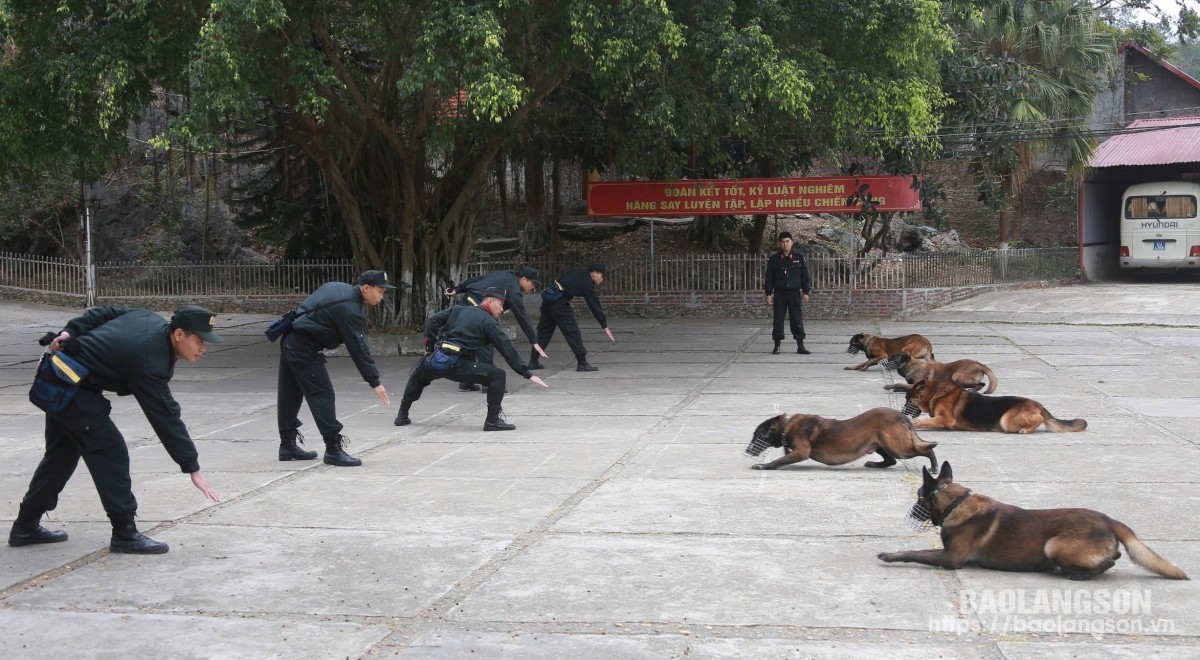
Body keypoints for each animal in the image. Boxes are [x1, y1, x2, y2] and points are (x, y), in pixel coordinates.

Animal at [739, 408, 936, 470]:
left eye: (759, 435)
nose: (747, 451)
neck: (787, 426)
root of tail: (902, 416)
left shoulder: (802, 452)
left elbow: (778, 460)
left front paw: (763, 465)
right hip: (880, 444)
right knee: (890, 461)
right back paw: (875, 464)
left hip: (897, 446)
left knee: (926, 450)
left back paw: (934, 466)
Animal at [878, 463, 1185, 583]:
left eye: (919, 496)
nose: (911, 512)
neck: (957, 502)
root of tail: (1110, 521)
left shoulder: (952, 557)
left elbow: (916, 553)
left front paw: (891, 555)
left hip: (1054, 545)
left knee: (1108, 561)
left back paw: (1072, 572)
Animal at [902, 376, 1089, 434]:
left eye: (908, 400)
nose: (902, 412)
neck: (936, 393)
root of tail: (1038, 405)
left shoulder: (946, 419)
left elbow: (924, 421)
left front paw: (914, 424)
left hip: (1008, 420)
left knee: (1039, 419)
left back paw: (1027, 429)